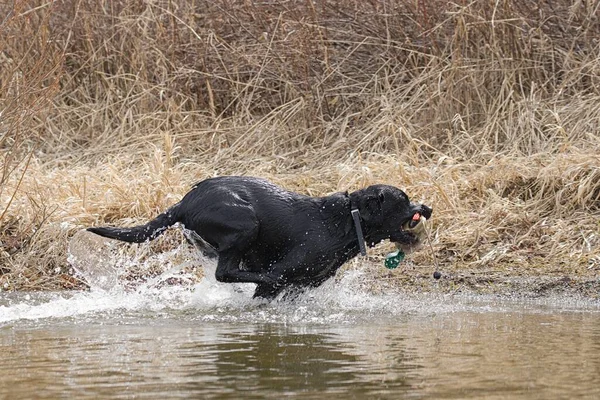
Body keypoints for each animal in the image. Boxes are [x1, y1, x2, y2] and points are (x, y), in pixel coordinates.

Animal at [89, 177, 432, 298]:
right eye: (404, 200)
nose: (426, 207)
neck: (345, 223)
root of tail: (184, 202)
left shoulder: (304, 286)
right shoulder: (286, 277)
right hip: (245, 222)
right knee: (227, 272)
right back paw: (262, 275)